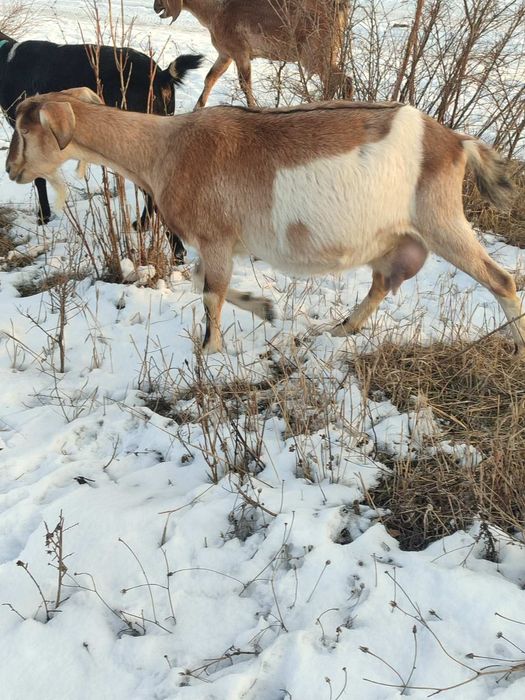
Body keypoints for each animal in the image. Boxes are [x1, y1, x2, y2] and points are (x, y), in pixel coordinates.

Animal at [6, 89, 524, 356]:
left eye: (24, 130)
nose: (12, 170)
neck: (165, 149)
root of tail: (455, 143)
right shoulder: (221, 243)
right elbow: (202, 280)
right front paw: (264, 307)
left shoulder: (215, 237)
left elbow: (209, 292)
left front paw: (209, 352)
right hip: (393, 240)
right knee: (381, 283)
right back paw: (342, 331)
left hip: (440, 220)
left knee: (501, 278)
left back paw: (517, 344)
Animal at [153, 0, 352, 108]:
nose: (156, 7)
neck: (216, 9)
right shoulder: (226, 55)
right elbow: (210, 78)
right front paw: (196, 109)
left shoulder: (240, 53)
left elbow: (245, 85)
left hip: (313, 55)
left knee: (341, 79)